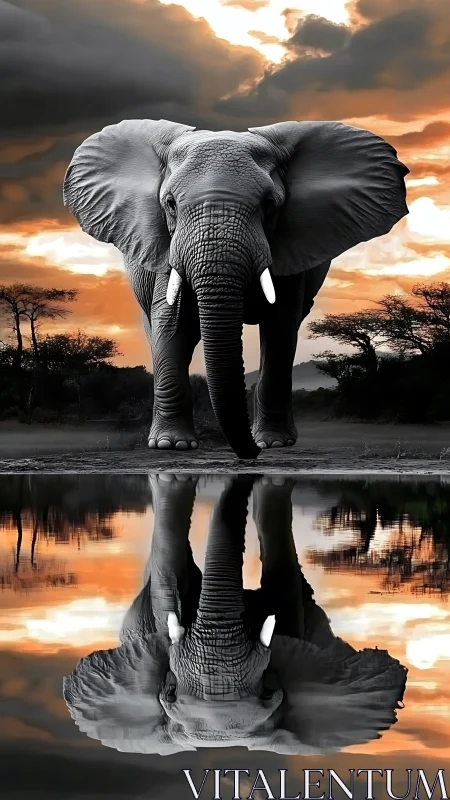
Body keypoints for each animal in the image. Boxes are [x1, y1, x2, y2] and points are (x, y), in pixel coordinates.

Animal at [63, 119, 409, 459]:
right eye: (171, 204)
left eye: (269, 205)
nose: (251, 454)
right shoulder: (163, 247)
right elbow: (171, 324)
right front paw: (171, 445)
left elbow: (280, 326)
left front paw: (274, 444)